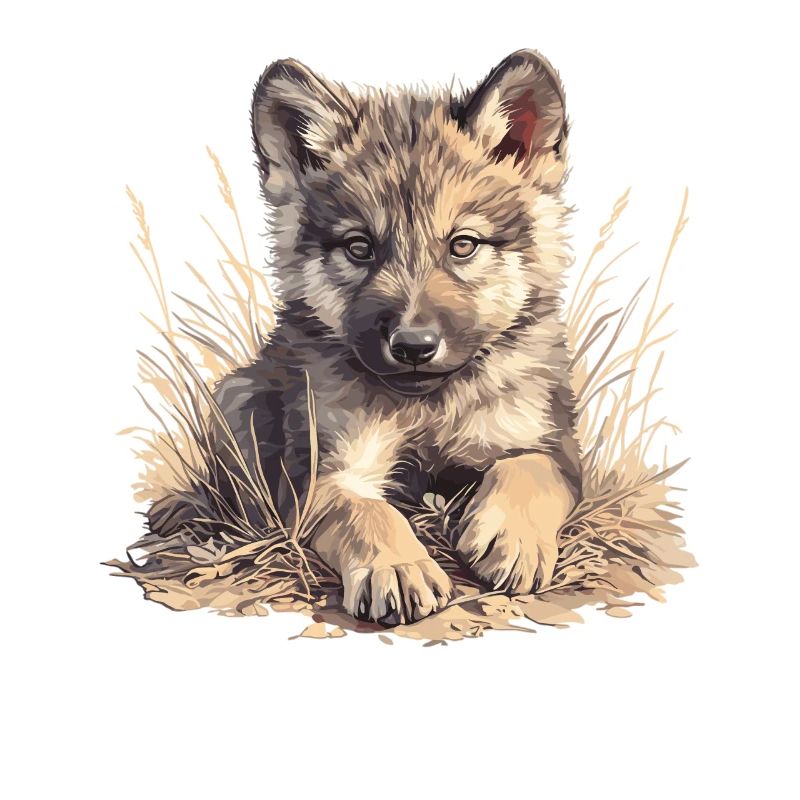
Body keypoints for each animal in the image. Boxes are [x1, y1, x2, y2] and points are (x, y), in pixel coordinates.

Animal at [152, 49, 582, 625]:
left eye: (463, 245)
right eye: (360, 248)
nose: (413, 347)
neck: (426, 408)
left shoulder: (549, 444)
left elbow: (529, 470)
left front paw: (512, 536)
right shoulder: (323, 472)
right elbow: (364, 511)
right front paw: (395, 566)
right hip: (235, 396)